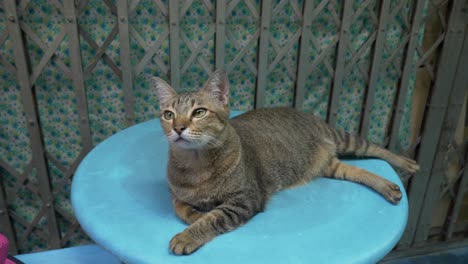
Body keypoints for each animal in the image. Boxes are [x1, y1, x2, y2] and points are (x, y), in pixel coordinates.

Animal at [154, 69, 420, 255]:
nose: (178, 128)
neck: (197, 164)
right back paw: (389, 187)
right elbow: (181, 207)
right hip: (331, 166)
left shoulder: (245, 200)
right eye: (168, 115)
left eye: (199, 112)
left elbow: (214, 217)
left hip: (343, 139)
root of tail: (303, 112)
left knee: (373, 148)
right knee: (354, 170)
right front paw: (195, 215)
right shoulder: (176, 194)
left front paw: (187, 236)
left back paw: (407, 163)